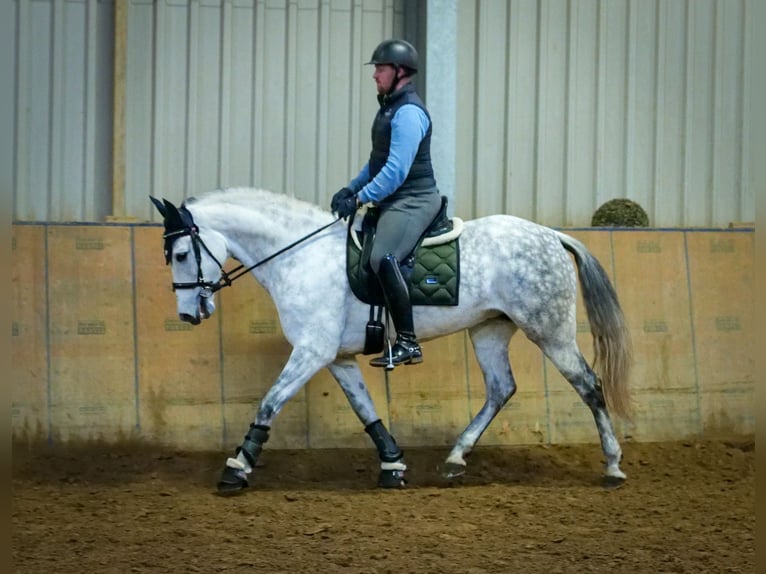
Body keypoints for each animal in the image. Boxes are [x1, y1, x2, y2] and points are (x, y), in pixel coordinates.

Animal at [150, 189, 636, 496]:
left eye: (181, 254)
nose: (188, 314)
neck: (299, 255)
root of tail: (552, 234)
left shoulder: (311, 351)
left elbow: (269, 403)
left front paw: (236, 469)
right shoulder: (337, 358)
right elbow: (365, 409)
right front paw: (393, 465)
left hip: (549, 330)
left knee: (589, 386)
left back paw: (613, 466)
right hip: (489, 330)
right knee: (501, 389)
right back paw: (455, 459)